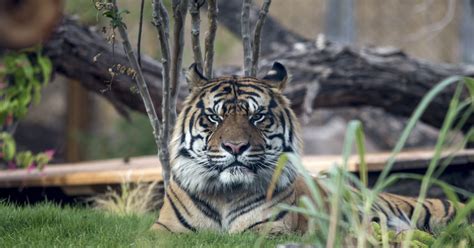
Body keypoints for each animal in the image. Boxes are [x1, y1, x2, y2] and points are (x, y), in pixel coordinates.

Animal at [151, 62, 462, 234]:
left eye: (257, 117)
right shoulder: (164, 231)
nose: (235, 147)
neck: (226, 194)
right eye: (214, 118)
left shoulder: (269, 230)